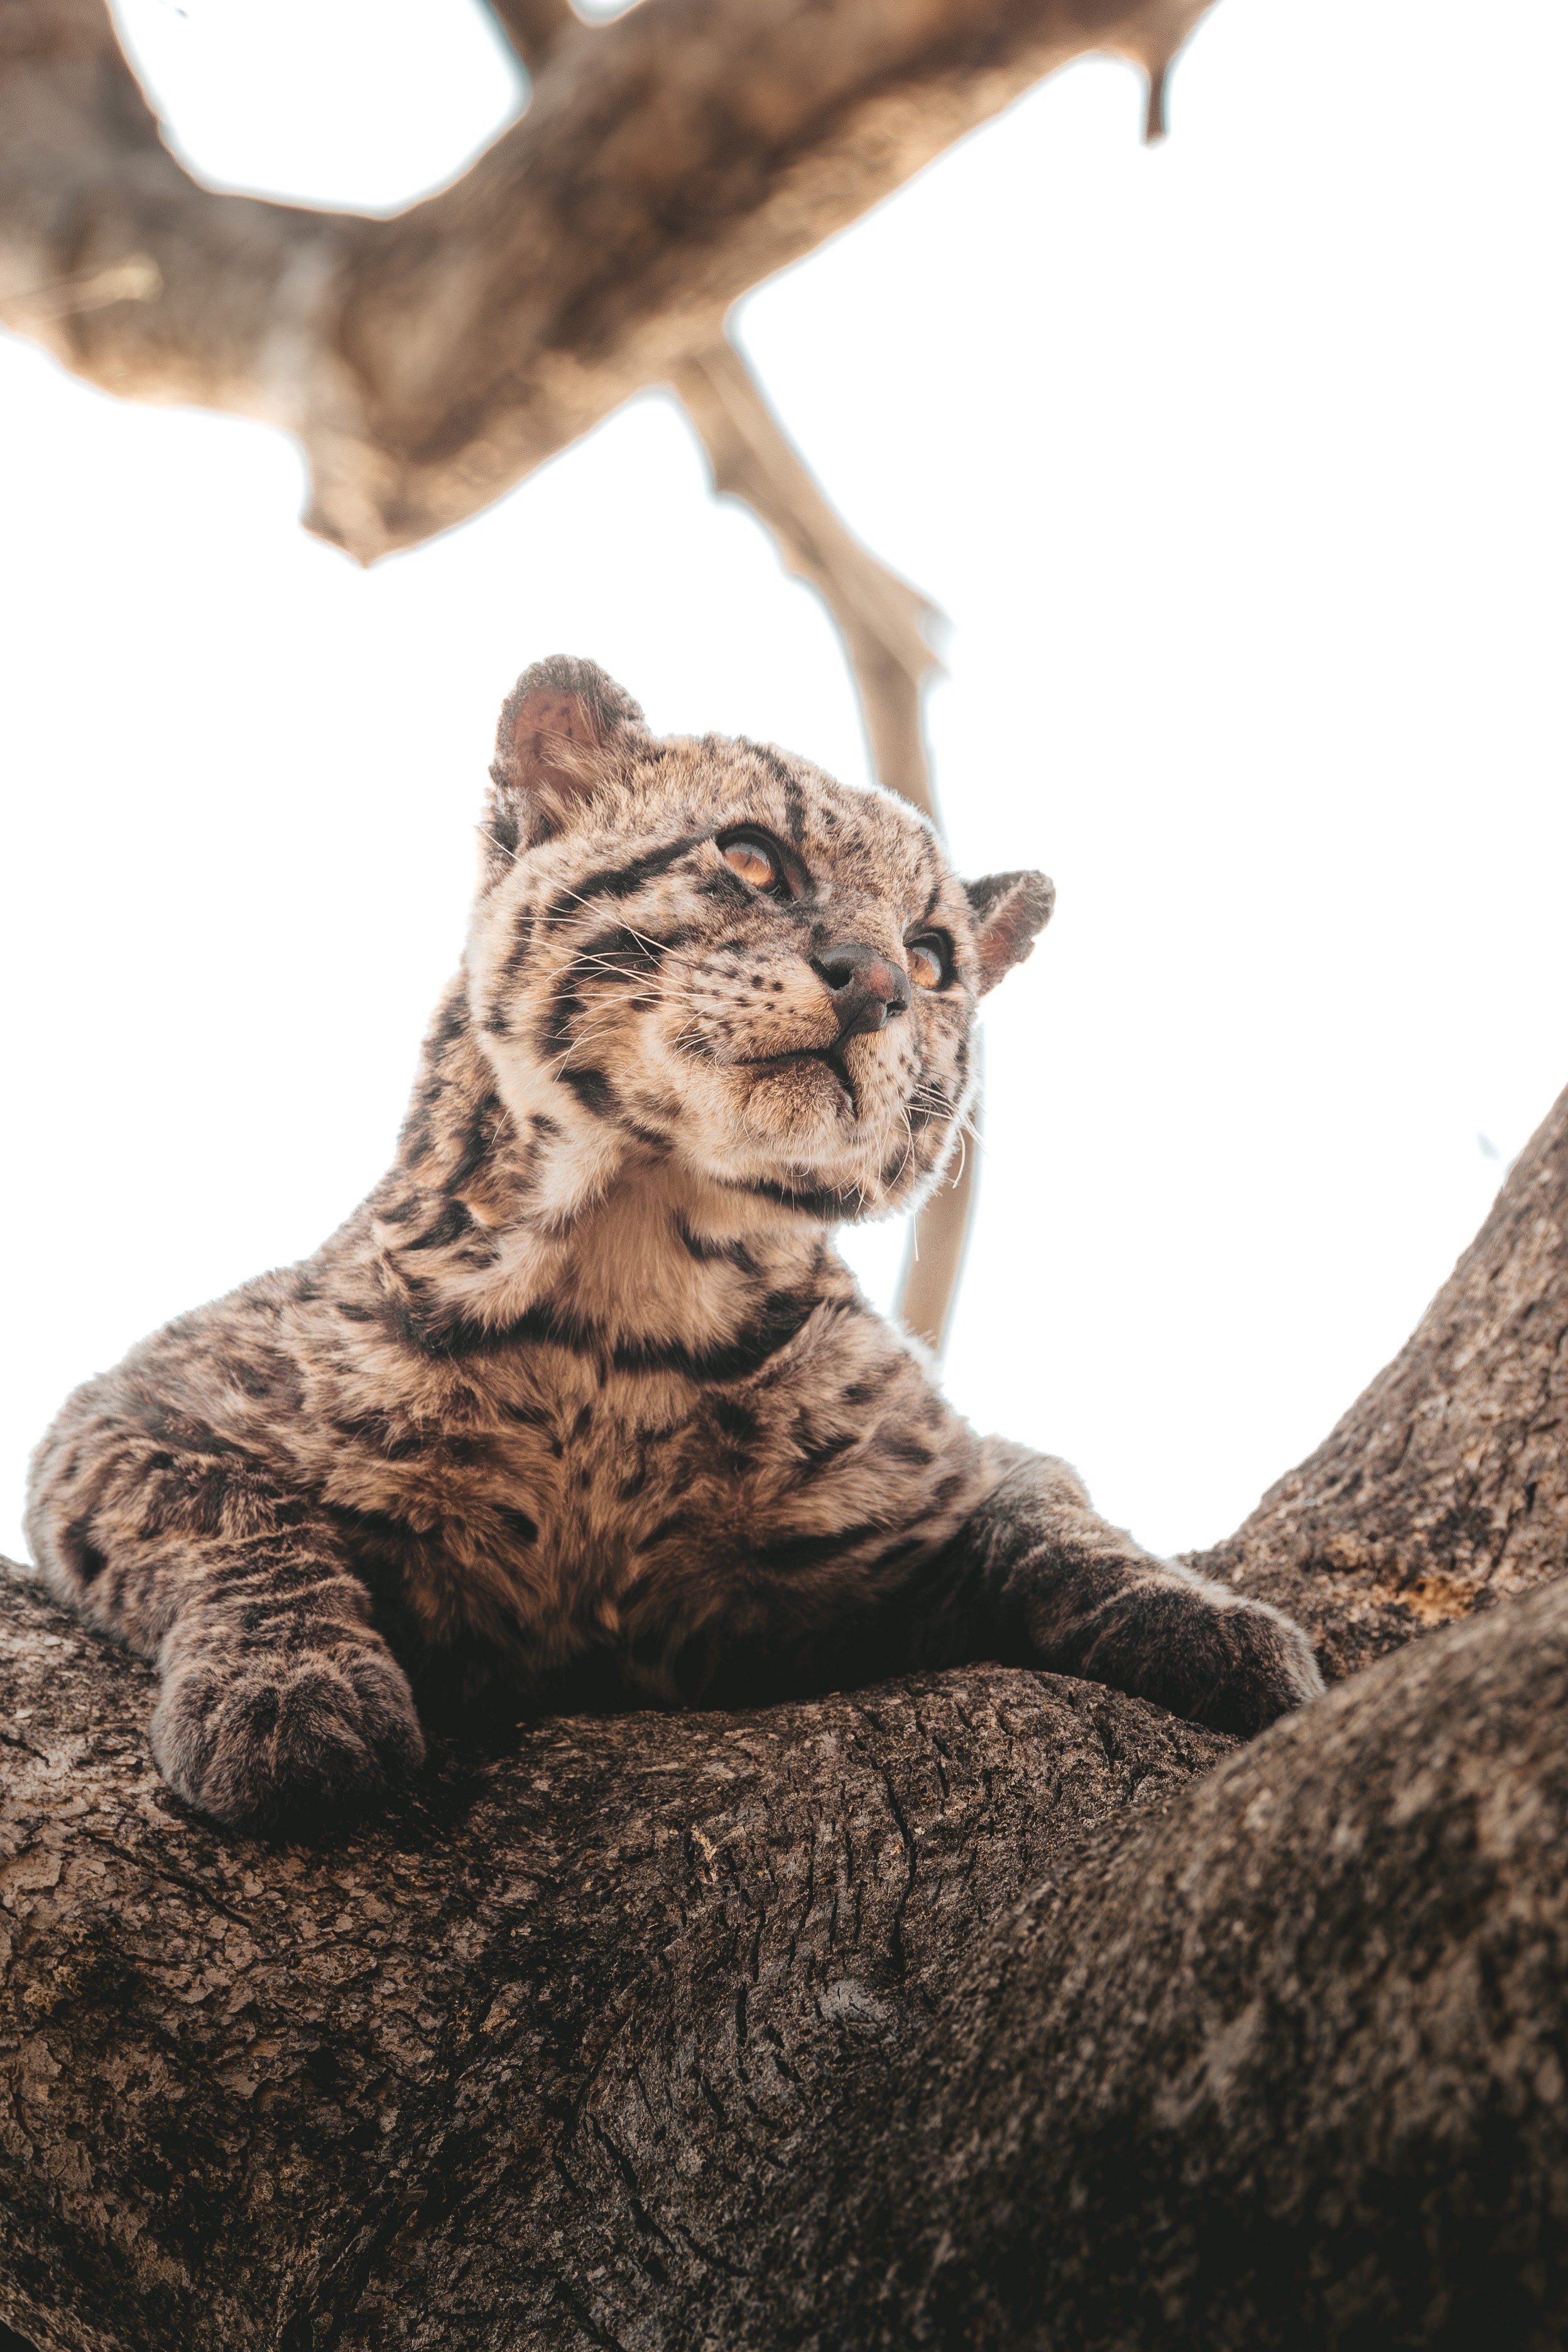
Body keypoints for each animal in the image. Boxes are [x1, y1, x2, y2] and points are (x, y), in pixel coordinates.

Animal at [24, 653, 1326, 1825]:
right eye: (752, 855)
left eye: (932, 955)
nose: (873, 983)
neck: (626, 1274)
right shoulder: (131, 1410)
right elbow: (240, 1522)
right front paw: (290, 1700)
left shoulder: (945, 1482)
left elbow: (1054, 1515)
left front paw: (1221, 1627)